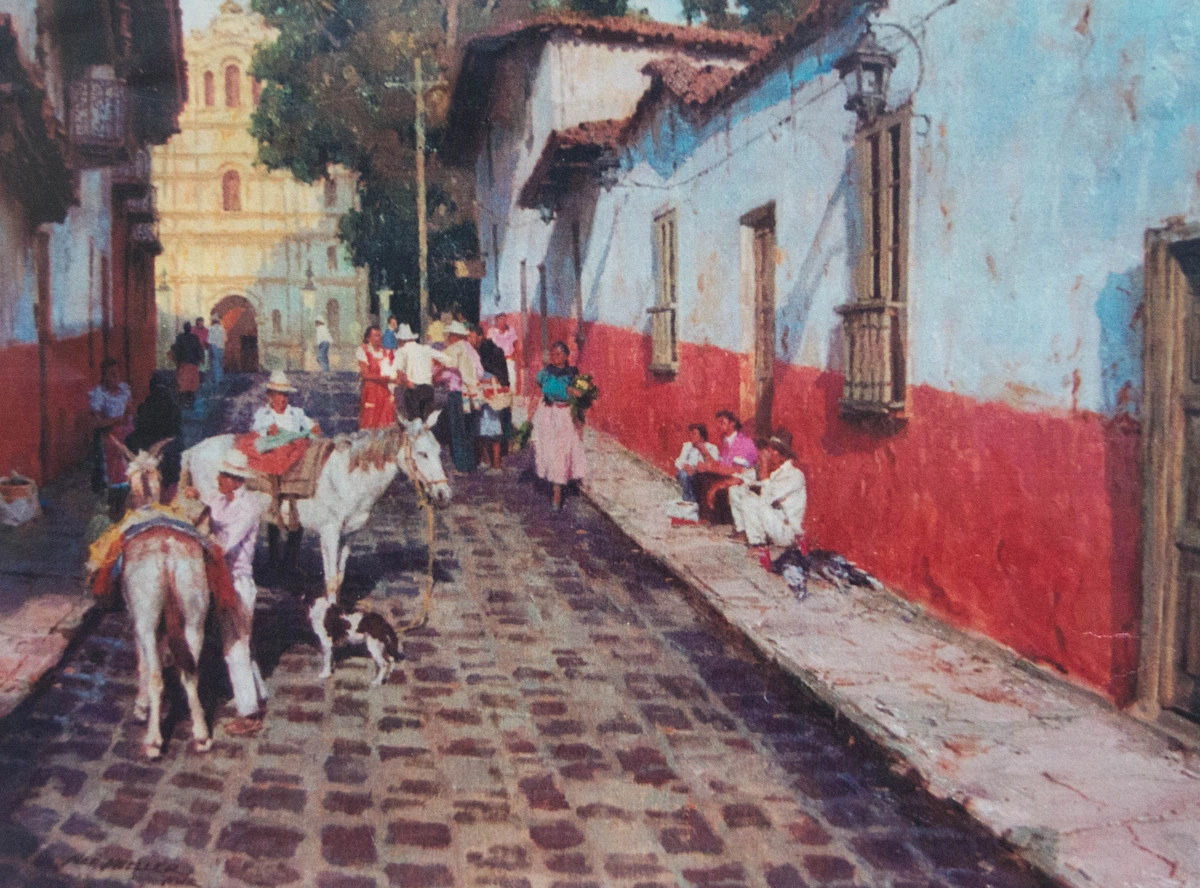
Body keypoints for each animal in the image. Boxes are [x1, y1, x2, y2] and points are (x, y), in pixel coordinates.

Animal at [95, 440, 214, 759]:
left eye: (126, 475)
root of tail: (166, 552)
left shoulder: (136, 615)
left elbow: (143, 663)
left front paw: (140, 706)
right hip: (194, 616)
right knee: (191, 672)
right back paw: (201, 734)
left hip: (147, 615)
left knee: (156, 676)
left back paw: (152, 740)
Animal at [180, 411, 449, 602]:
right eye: (422, 454)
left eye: (439, 451)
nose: (444, 494)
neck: (348, 477)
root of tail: (193, 450)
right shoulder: (329, 532)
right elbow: (329, 579)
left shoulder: (349, 534)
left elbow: (339, 578)